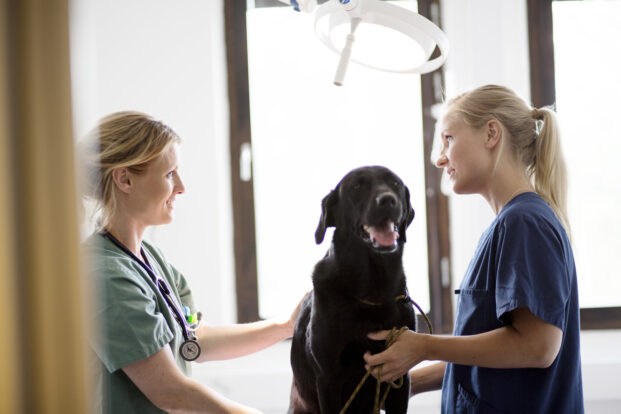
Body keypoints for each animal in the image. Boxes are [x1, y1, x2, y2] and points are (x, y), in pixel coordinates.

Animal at [286, 166, 414, 414]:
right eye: (356, 187)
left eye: (394, 183)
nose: (388, 200)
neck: (372, 287)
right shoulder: (328, 378)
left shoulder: (399, 373)